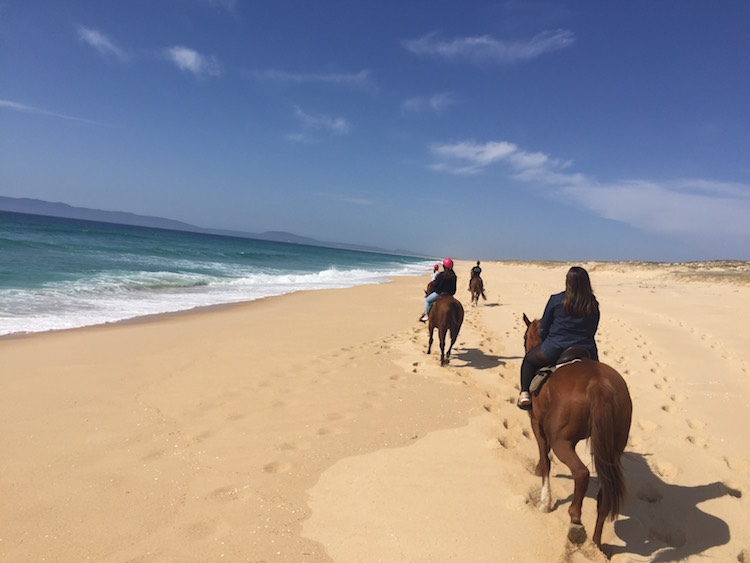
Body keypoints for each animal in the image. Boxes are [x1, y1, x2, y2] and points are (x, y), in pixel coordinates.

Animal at [522, 314, 632, 549]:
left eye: (525, 336)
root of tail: (599, 384)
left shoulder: (536, 423)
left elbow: (545, 459)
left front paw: (545, 501)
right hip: (614, 448)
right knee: (605, 494)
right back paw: (596, 544)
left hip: (561, 441)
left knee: (581, 474)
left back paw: (575, 523)